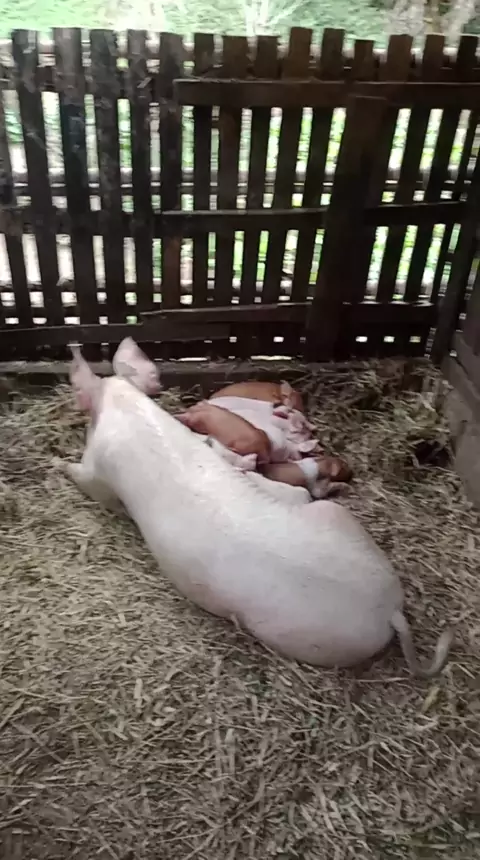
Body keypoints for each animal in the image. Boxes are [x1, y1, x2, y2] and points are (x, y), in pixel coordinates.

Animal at [54, 340, 453, 677]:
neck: (126, 408)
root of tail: (390, 611)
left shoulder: (98, 472)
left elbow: (92, 485)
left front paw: (57, 463)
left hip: (296, 636)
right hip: (334, 514)